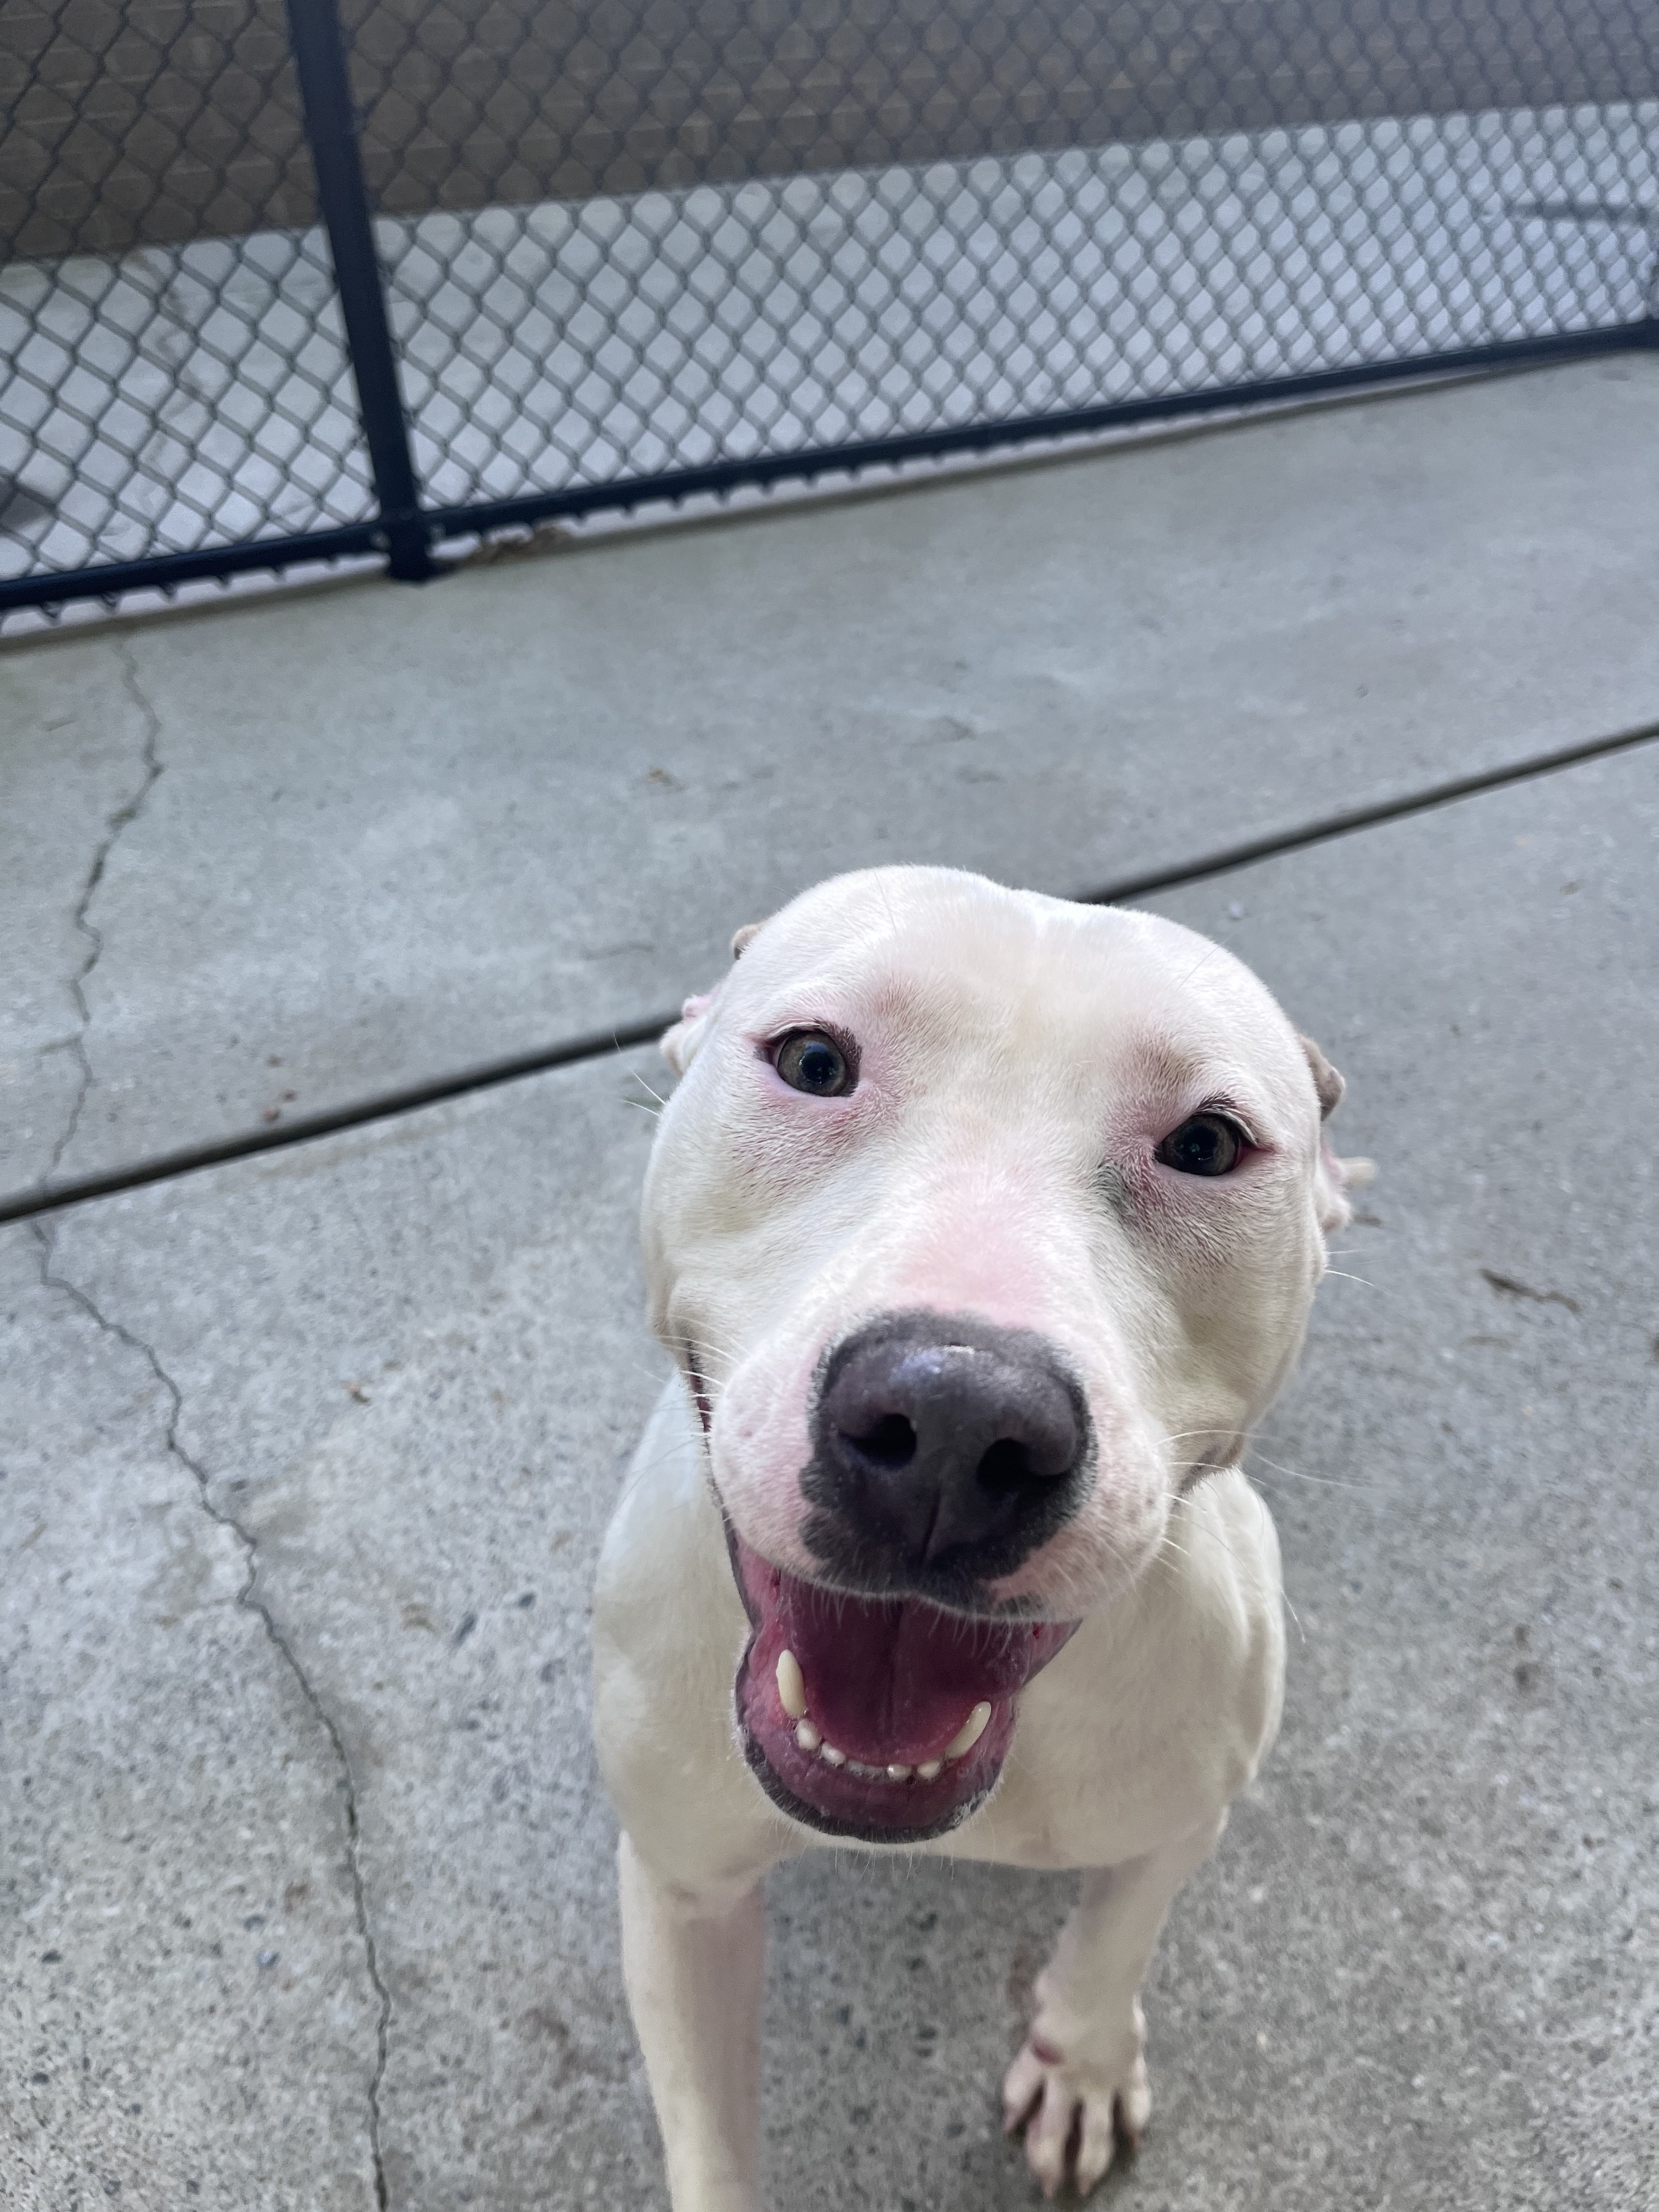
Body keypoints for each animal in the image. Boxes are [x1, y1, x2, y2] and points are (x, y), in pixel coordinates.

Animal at [593, 865, 1361, 2206]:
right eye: (812, 1060)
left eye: (1208, 1145)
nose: (955, 1426)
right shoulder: (679, 1884)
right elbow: (710, 2138)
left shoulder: (1184, 1810)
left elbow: (1118, 1932)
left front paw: (1082, 2059)